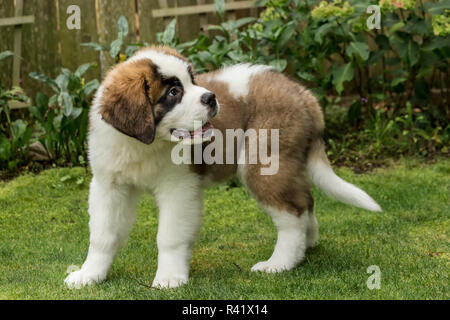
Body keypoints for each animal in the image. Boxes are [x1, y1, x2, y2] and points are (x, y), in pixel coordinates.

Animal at [65, 45, 382, 290]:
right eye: (173, 92)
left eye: (192, 79)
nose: (210, 97)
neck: (145, 145)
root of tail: (302, 93)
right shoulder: (109, 186)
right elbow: (103, 235)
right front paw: (89, 274)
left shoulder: (178, 188)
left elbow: (169, 235)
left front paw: (169, 278)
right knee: (305, 199)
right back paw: (308, 243)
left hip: (263, 163)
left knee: (294, 211)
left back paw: (280, 263)